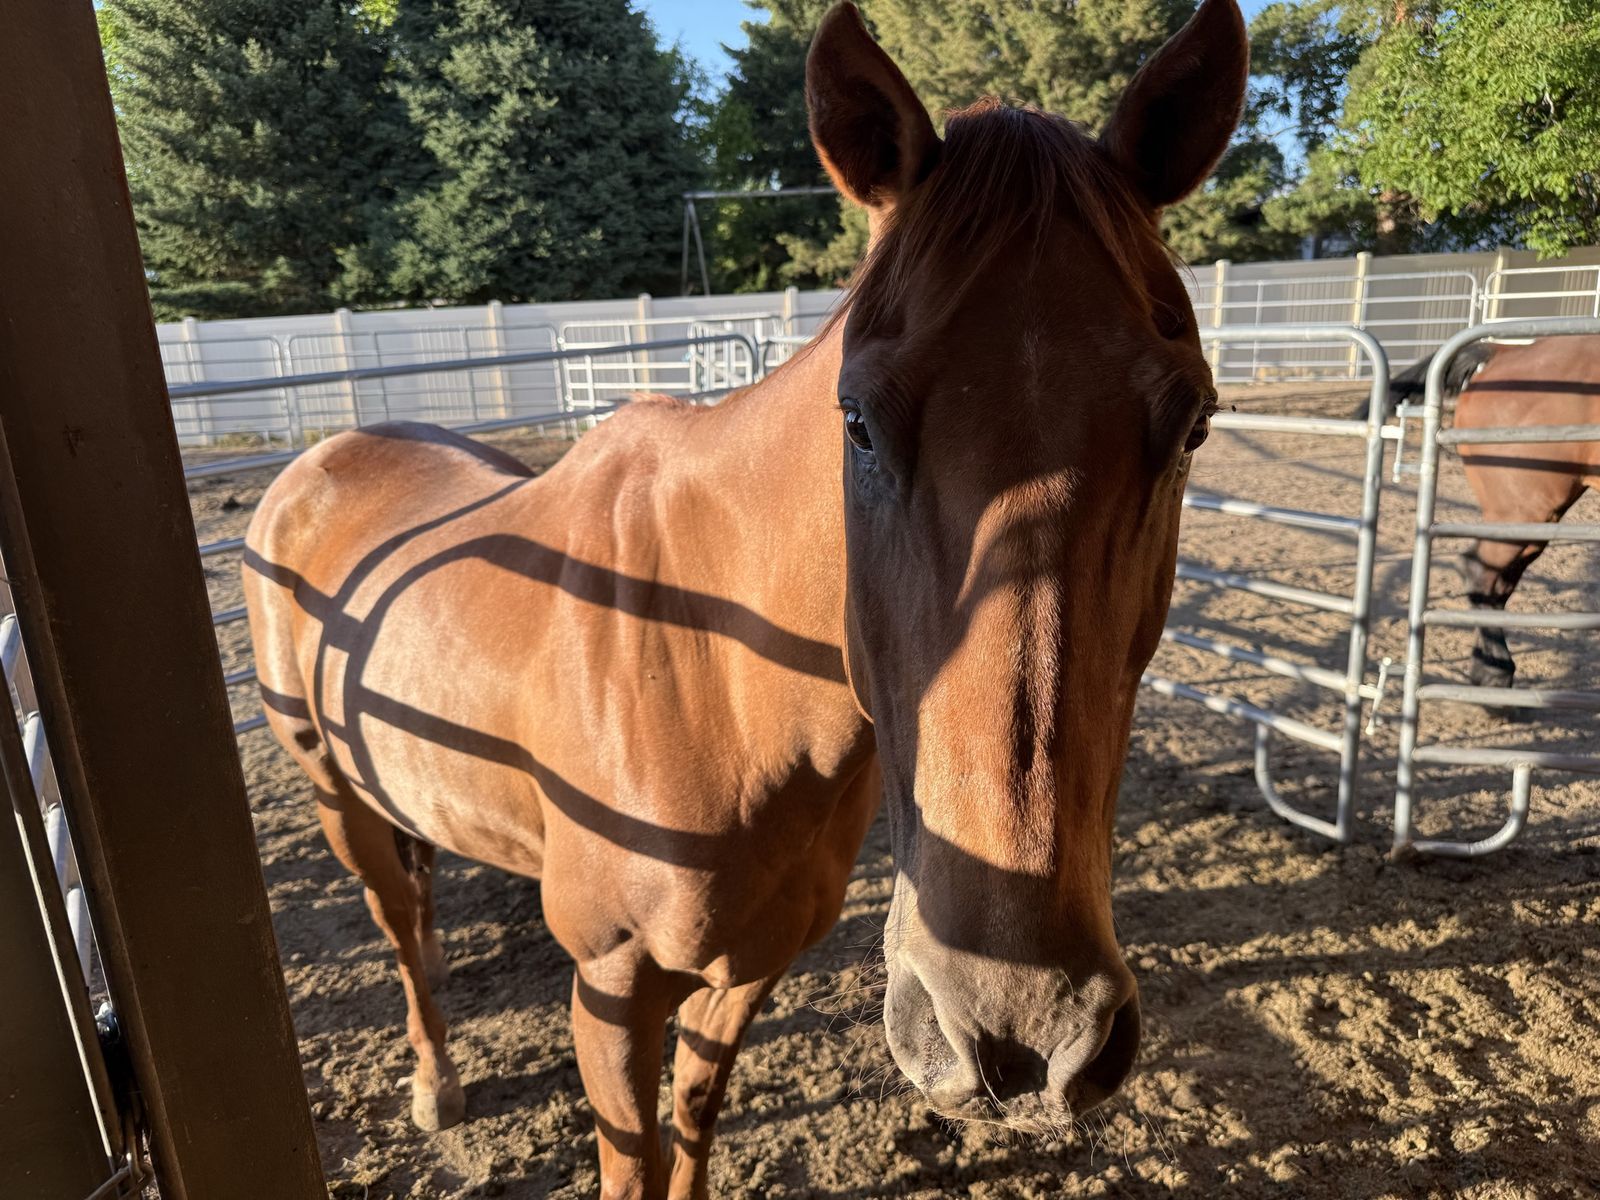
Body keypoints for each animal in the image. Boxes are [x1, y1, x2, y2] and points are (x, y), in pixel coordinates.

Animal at [242, 3, 1248, 1196]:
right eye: (857, 419)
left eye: (1193, 424)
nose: (1017, 1028)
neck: (716, 669)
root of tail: (316, 467)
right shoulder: (611, 990)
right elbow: (633, 1156)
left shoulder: (750, 967)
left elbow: (695, 1117)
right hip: (331, 792)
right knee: (395, 923)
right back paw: (436, 1083)